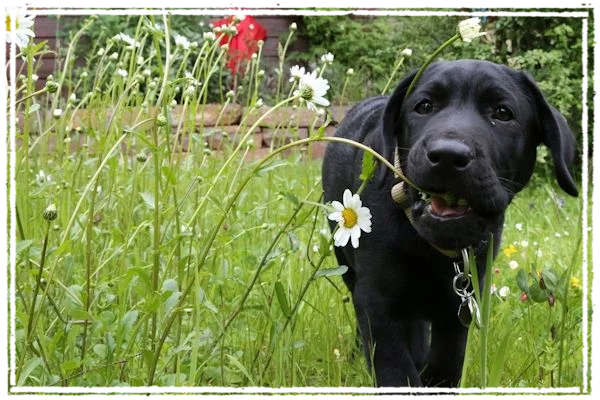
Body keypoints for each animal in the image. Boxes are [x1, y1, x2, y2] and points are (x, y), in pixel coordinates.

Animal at [322, 60, 580, 396]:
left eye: (503, 113)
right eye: (424, 106)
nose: (448, 155)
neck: (430, 244)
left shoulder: (462, 304)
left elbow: (448, 360)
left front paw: (434, 382)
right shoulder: (377, 302)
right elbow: (395, 372)